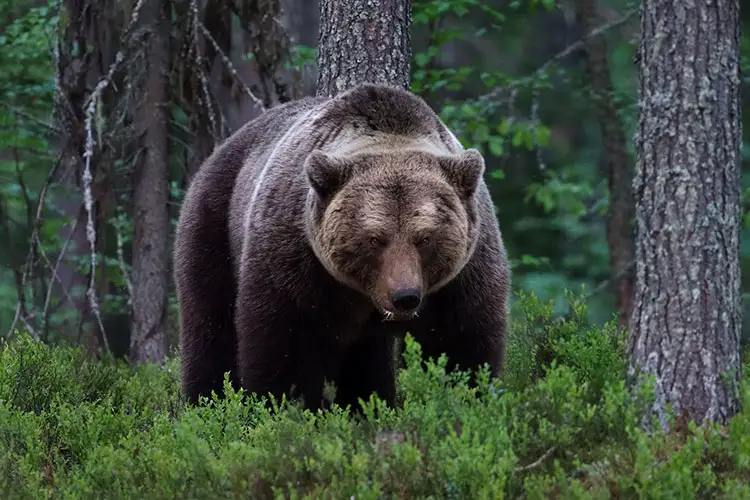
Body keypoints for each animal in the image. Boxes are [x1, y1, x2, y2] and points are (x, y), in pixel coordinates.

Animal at [176, 83, 516, 410]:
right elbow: (286, 345)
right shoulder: (297, 259)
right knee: (210, 325)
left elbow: (461, 342)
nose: (405, 297)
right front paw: (279, 406)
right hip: (214, 222)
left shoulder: (463, 273)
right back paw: (204, 401)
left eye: (425, 238)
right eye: (375, 238)